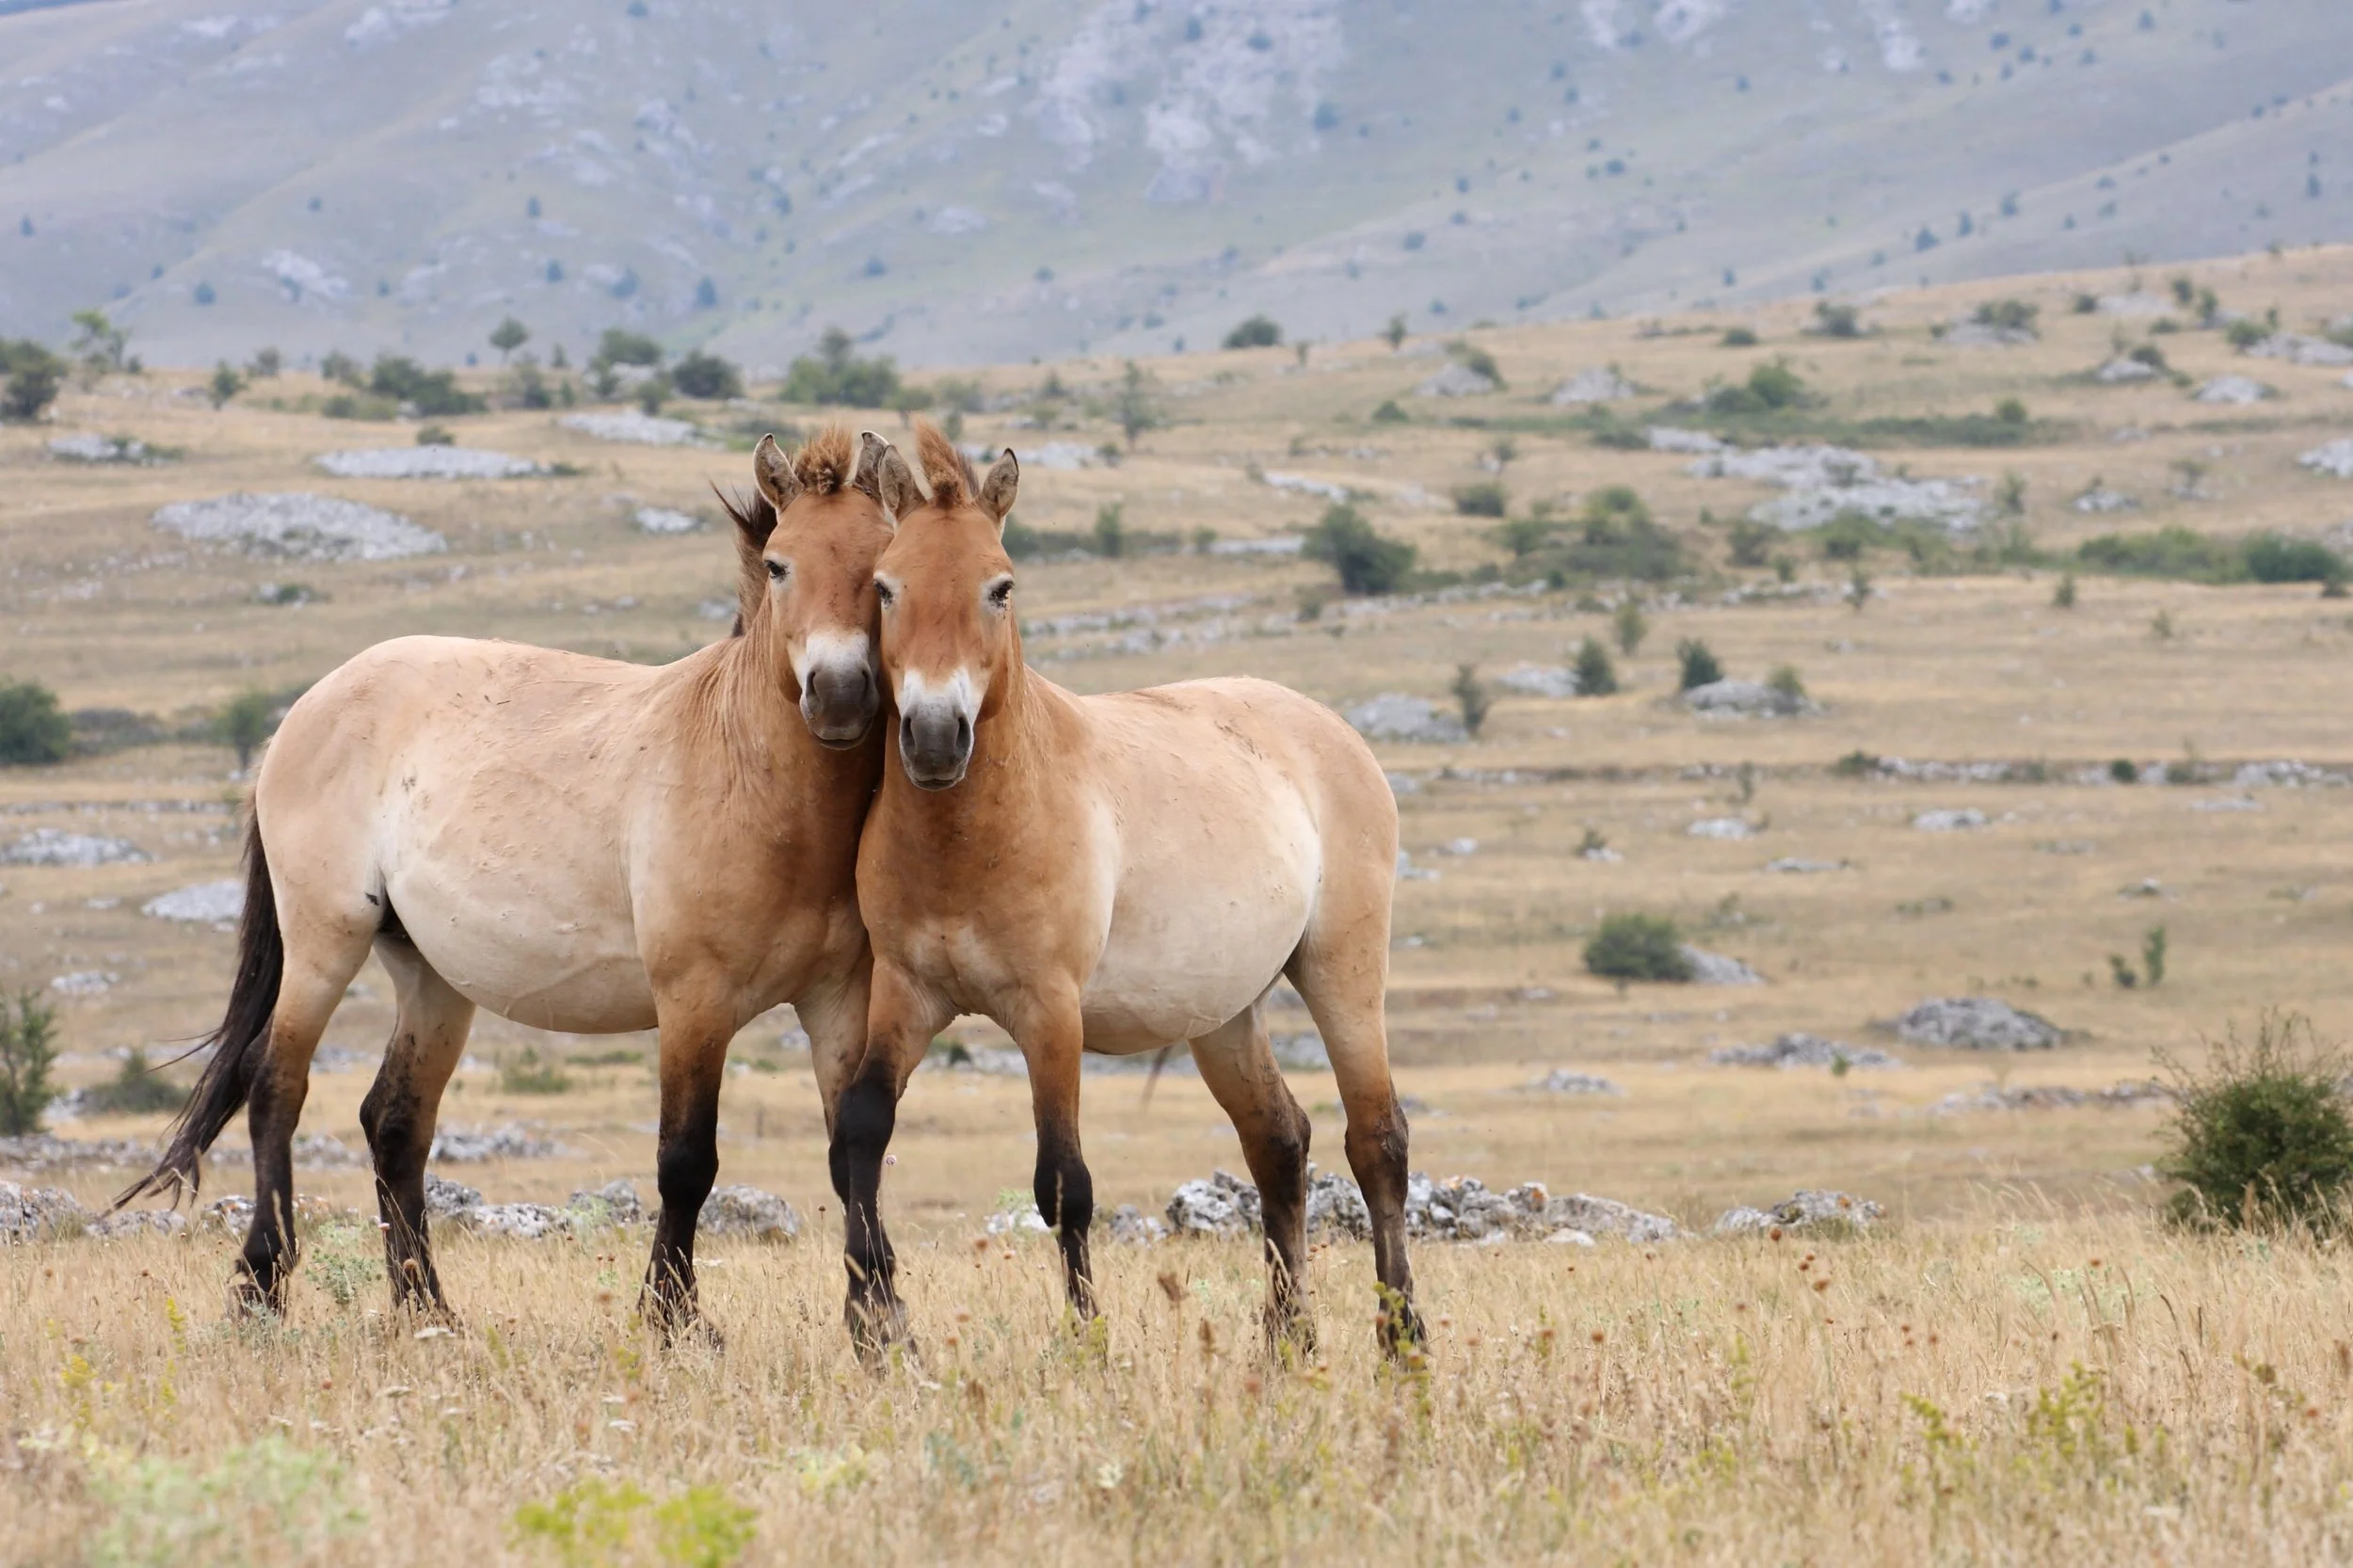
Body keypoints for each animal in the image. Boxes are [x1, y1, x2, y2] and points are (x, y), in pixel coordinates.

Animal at [120, 426, 923, 1333]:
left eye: (881, 570)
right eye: (781, 565)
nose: (840, 694)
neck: (748, 775)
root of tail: (306, 709)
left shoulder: (836, 1002)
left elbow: (852, 1150)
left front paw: (880, 1320)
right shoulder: (694, 1003)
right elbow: (687, 1161)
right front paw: (674, 1321)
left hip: (432, 977)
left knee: (393, 1123)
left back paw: (427, 1310)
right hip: (325, 942)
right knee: (274, 1090)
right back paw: (260, 1288)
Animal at [827, 422, 1421, 1355]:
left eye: (1001, 587)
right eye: (885, 587)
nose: (933, 736)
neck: (972, 841)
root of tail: (1332, 729)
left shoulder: (1050, 1013)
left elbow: (1063, 1182)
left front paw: (1086, 1339)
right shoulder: (908, 994)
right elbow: (861, 1130)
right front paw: (870, 1329)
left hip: (1343, 972)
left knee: (1377, 1141)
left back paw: (1402, 1339)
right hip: (1224, 1013)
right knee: (1279, 1141)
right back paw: (1287, 1341)